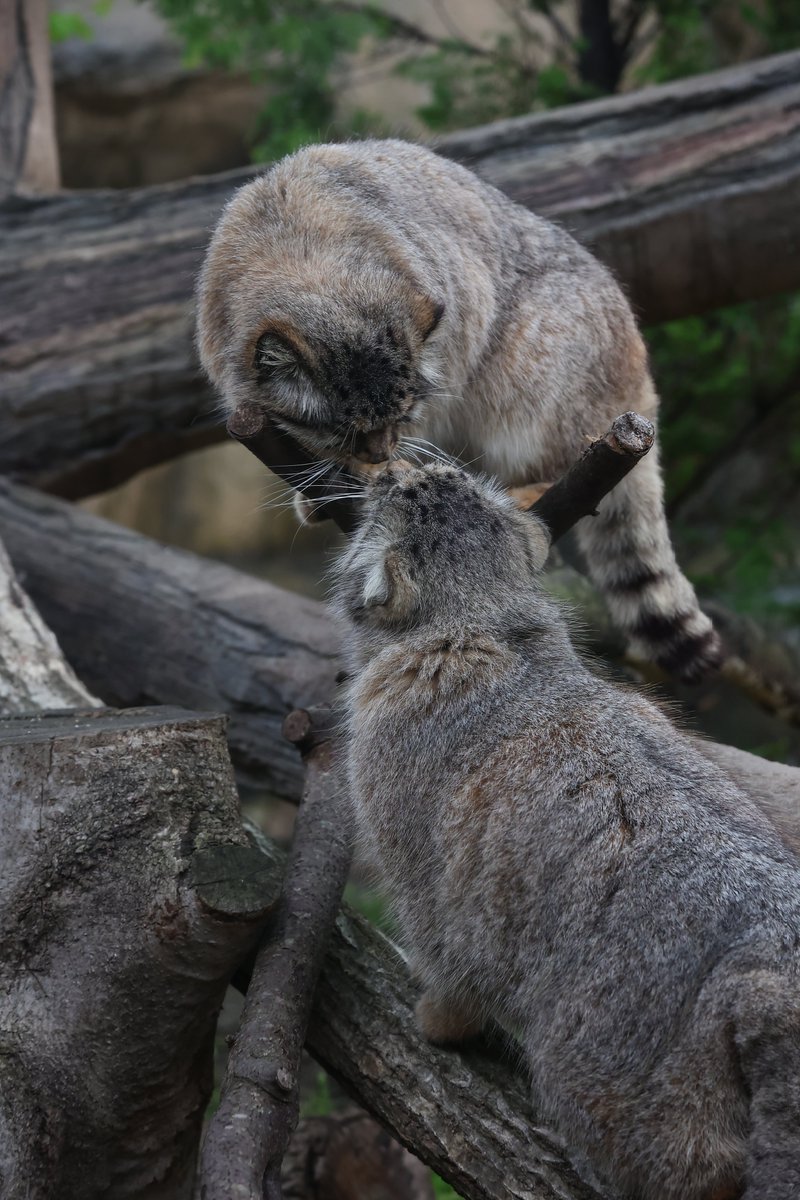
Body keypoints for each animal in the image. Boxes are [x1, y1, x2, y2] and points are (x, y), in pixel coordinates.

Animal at [199, 137, 719, 681]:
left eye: (402, 417)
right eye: (345, 432)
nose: (378, 455)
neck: (305, 260)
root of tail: (638, 379)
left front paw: (382, 475)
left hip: (537, 378)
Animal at [335, 456, 800, 1200]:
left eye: (400, 493)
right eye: (439, 476)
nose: (396, 462)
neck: (488, 623)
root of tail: (773, 974)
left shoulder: (417, 858)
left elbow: (441, 949)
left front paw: (438, 1021)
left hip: (611, 1086)